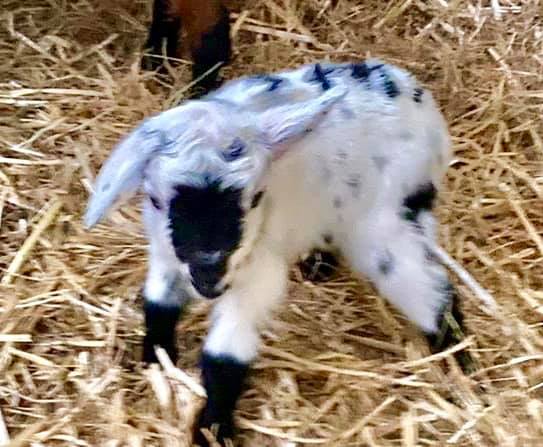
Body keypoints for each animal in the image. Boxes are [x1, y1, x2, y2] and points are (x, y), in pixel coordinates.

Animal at [84, 60, 468, 447]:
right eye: (155, 199)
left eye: (254, 198)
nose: (209, 277)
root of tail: (416, 96)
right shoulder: (165, 255)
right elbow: (159, 304)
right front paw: (156, 359)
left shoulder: (258, 268)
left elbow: (227, 349)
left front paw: (213, 428)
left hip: (385, 220)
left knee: (431, 288)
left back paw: (458, 361)